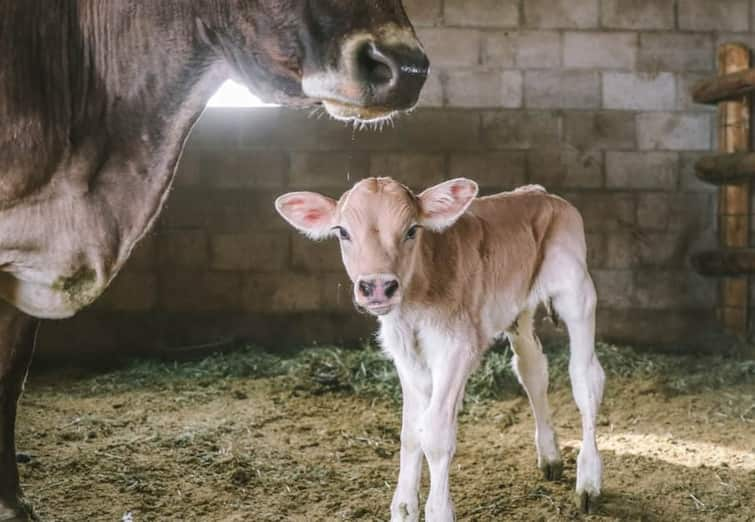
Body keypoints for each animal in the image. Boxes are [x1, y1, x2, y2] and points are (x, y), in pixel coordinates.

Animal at [274, 177, 604, 516]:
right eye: (342, 231)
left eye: (411, 230)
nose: (377, 286)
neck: (415, 303)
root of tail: (539, 193)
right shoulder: (404, 354)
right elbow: (410, 432)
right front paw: (403, 509)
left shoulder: (457, 348)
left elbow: (434, 433)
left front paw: (438, 510)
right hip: (519, 311)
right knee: (532, 371)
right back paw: (550, 457)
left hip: (577, 294)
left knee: (585, 379)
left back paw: (588, 483)